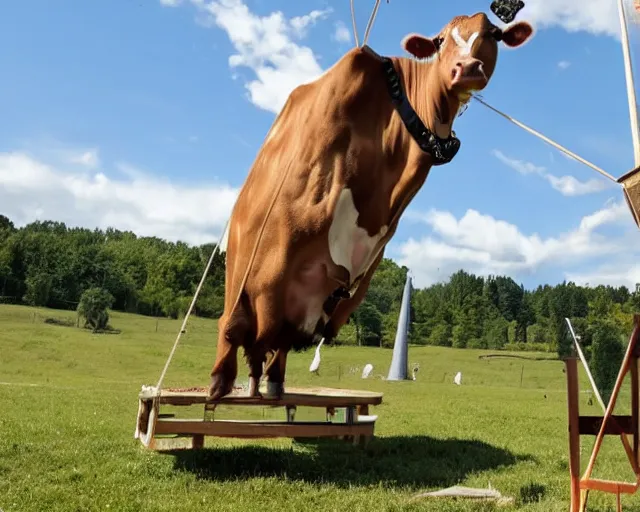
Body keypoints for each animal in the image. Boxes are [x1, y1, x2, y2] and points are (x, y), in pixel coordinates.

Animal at [210, 12, 536, 400]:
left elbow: (286, 337)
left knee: (277, 341)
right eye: (440, 40)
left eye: (494, 34)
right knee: (234, 324)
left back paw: (271, 384)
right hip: (242, 260)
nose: (468, 68)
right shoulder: (279, 236)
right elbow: (241, 321)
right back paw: (222, 381)